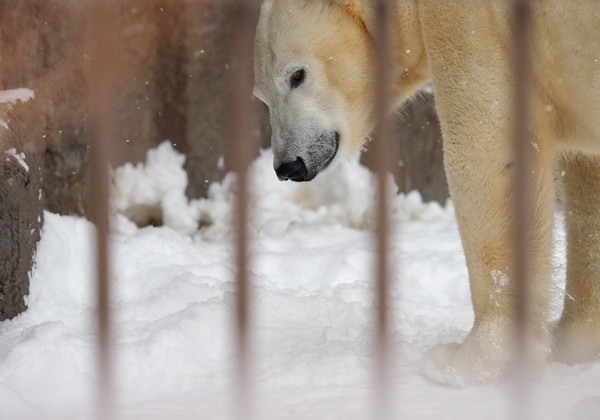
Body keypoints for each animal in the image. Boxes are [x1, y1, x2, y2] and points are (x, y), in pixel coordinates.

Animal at [252, 0, 600, 384]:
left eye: (297, 76)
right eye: (262, 95)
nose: (288, 166)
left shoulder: (475, 23)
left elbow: (489, 150)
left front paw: (466, 362)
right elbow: (587, 180)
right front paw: (571, 342)